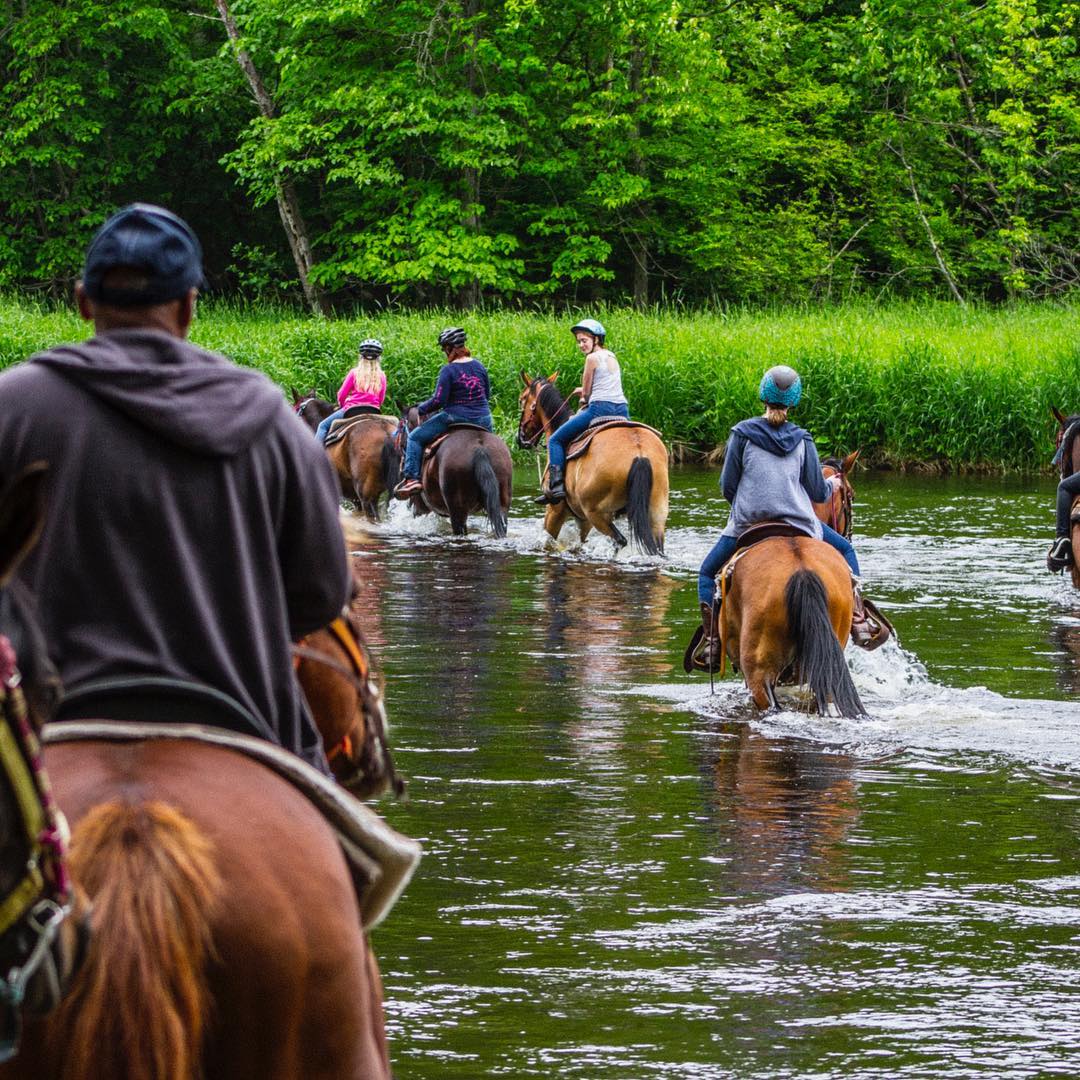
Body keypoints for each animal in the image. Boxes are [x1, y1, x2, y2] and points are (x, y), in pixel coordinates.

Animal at [518, 373, 669, 557]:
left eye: (522, 399)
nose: (521, 438)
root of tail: (639, 452)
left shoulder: (555, 510)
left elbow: (548, 541)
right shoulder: (582, 519)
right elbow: (579, 542)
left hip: (597, 513)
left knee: (620, 540)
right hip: (656, 514)